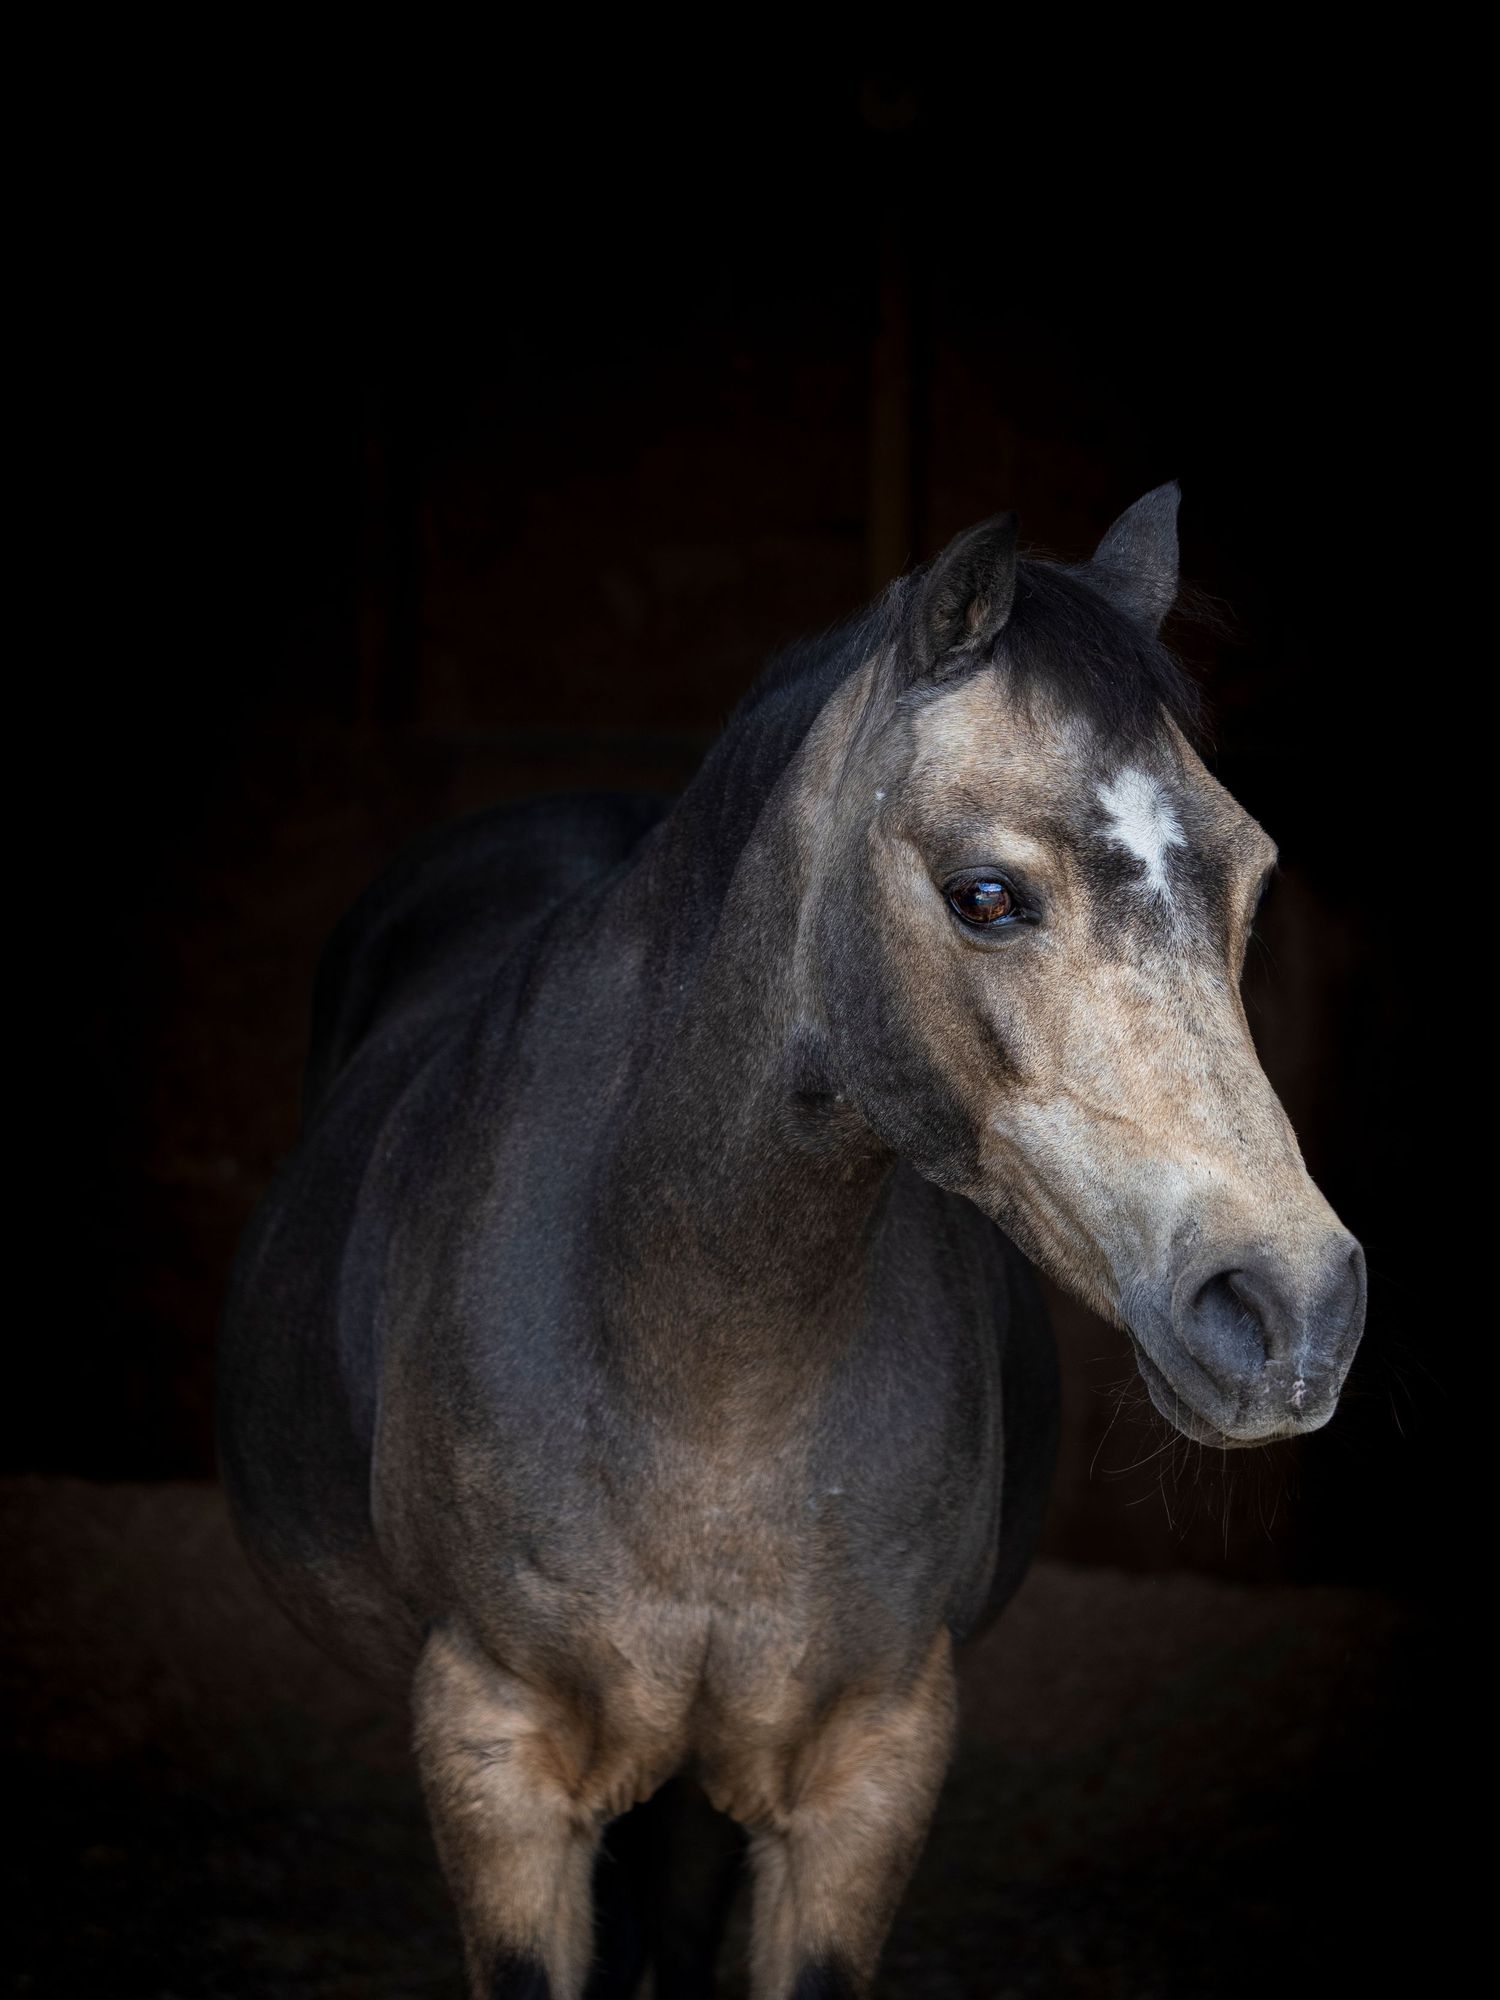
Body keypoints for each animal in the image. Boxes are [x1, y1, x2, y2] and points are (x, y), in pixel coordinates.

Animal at [218, 484, 1366, 1998]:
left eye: (1252, 880)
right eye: (986, 894)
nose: (1291, 1308)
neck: (696, 1363)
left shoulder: (866, 1768)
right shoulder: (495, 1758)